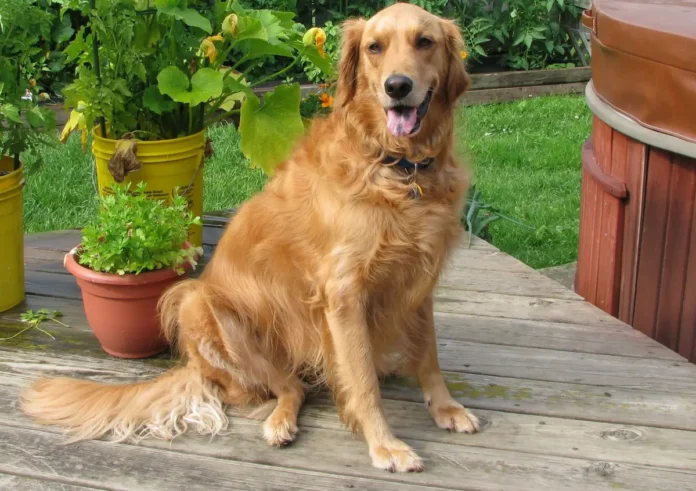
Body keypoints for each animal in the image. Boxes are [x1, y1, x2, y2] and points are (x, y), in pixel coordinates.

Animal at [20, 2, 478, 472]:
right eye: (374, 47)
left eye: (425, 41)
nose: (397, 86)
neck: (397, 167)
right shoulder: (343, 293)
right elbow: (363, 380)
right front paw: (385, 444)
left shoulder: (419, 277)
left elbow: (429, 354)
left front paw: (446, 407)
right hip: (198, 303)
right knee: (288, 387)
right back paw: (280, 423)